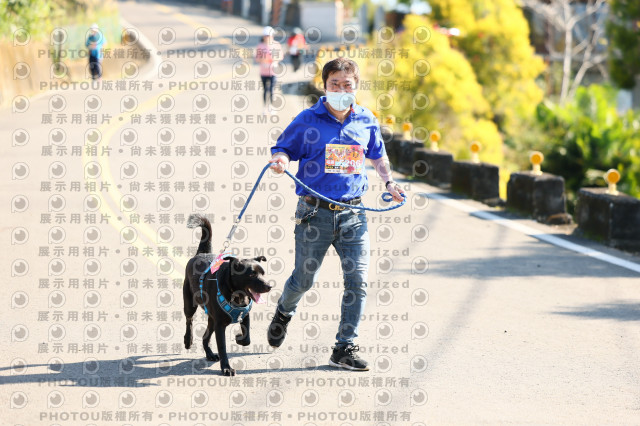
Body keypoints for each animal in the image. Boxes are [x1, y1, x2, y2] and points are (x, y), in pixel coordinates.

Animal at [183, 214, 271, 376]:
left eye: (263, 273)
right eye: (251, 274)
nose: (269, 286)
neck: (236, 295)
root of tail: (201, 253)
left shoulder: (244, 315)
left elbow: (247, 338)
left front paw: (239, 338)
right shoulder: (219, 325)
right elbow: (222, 347)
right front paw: (226, 368)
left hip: (211, 319)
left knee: (205, 337)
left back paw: (210, 354)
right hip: (189, 303)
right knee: (189, 320)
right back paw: (188, 340)